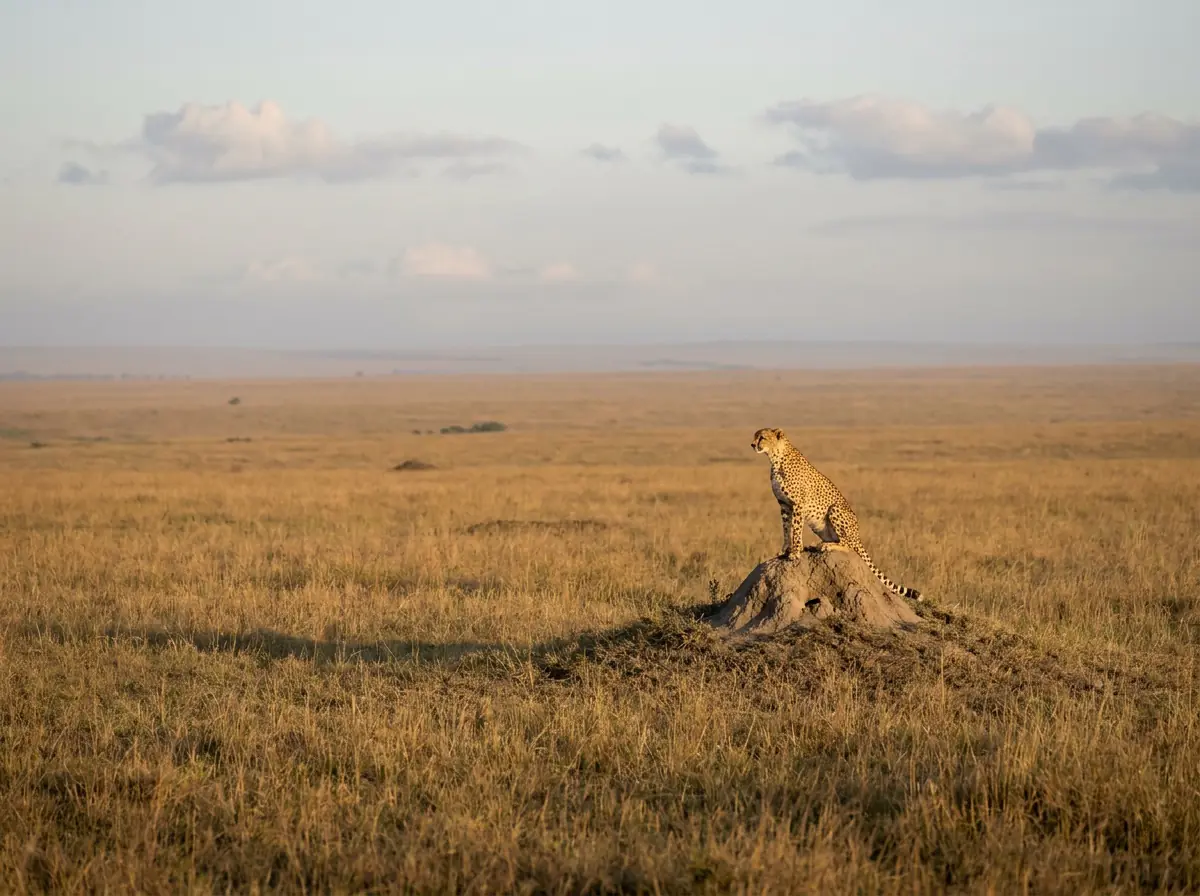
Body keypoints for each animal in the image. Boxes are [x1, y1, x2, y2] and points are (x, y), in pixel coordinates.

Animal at [751, 427, 922, 601]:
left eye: (762, 437)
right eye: (755, 436)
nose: (752, 444)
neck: (775, 458)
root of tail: (858, 536)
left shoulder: (798, 504)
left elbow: (796, 530)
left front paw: (795, 552)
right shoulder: (784, 505)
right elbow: (786, 530)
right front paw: (785, 549)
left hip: (835, 509)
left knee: (848, 545)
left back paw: (827, 545)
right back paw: (816, 544)